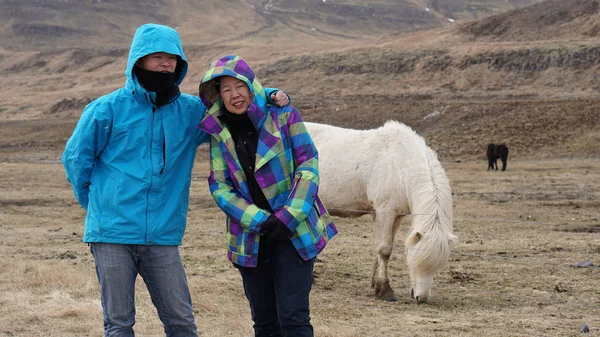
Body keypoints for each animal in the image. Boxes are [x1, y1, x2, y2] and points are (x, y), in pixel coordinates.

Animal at [308, 120, 458, 302]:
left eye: (437, 266)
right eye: (416, 262)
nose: (421, 298)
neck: (401, 165)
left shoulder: (397, 216)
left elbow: (383, 247)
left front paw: (375, 284)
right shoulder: (385, 212)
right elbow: (384, 249)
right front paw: (385, 290)